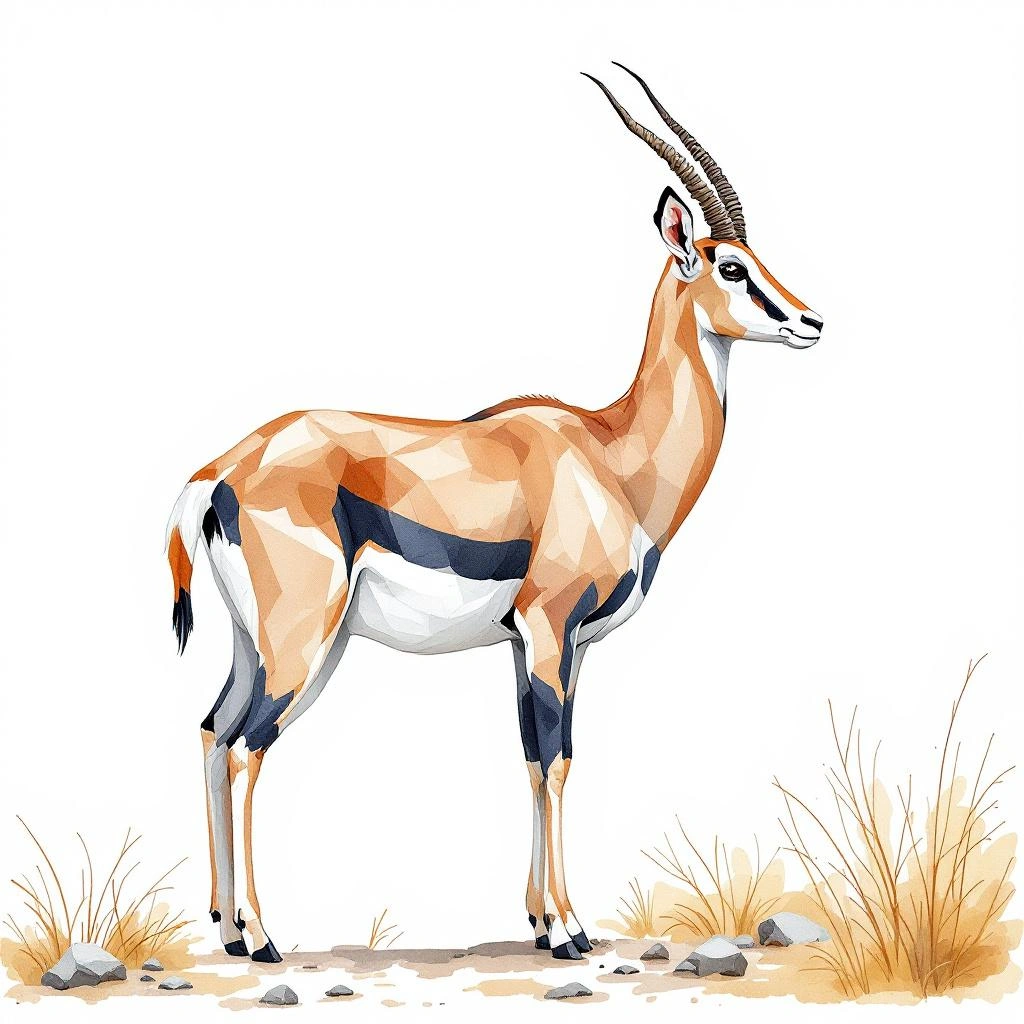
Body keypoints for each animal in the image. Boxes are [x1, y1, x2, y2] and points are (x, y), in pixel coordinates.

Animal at [165, 65, 823, 963]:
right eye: (727, 266)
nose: (812, 320)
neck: (611, 453)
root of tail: (221, 470)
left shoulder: (537, 646)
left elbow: (534, 760)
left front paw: (543, 923)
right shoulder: (549, 632)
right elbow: (559, 761)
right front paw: (572, 932)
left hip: (258, 643)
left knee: (209, 731)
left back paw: (228, 930)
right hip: (302, 644)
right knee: (244, 749)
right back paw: (264, 937)